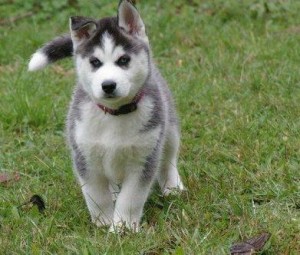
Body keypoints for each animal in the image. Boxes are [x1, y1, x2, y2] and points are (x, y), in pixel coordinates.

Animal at [28, 0, 183, 231]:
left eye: (124, 60)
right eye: (95, 62)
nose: (108, 85)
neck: (115, 115)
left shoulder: (143, 159)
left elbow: (131, 198)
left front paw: (122, 227)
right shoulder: (86, 157)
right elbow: (96, 195)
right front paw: (103, 222)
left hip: (169, 129)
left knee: (168, 159)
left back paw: (172, 186)